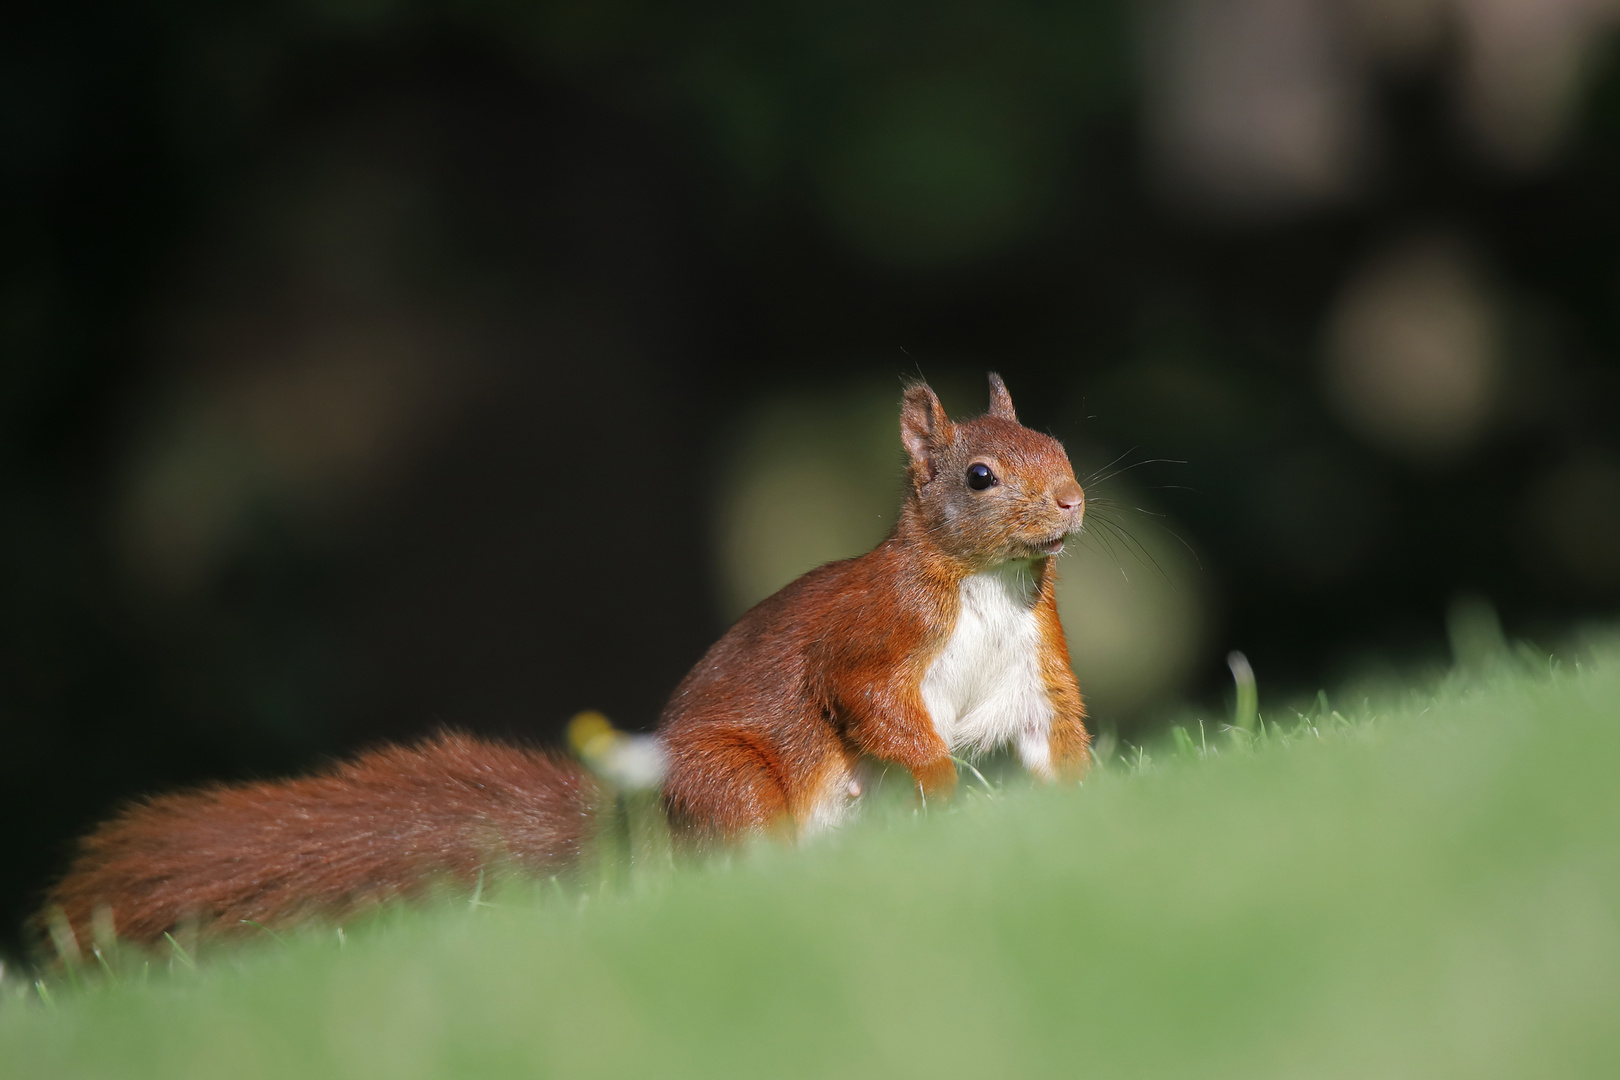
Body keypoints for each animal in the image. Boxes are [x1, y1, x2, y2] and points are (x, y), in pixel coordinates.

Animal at [44, 375, 1088, 952]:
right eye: (981, 477)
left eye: (1058, 444)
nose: (1075, 502)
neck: (985, 583)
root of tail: (640, 825)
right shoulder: (875, 635)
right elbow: (869, 702)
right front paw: (941, 784)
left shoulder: (1039, 659)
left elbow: (1055, 732)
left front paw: (1076, 805)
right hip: (731, 781)